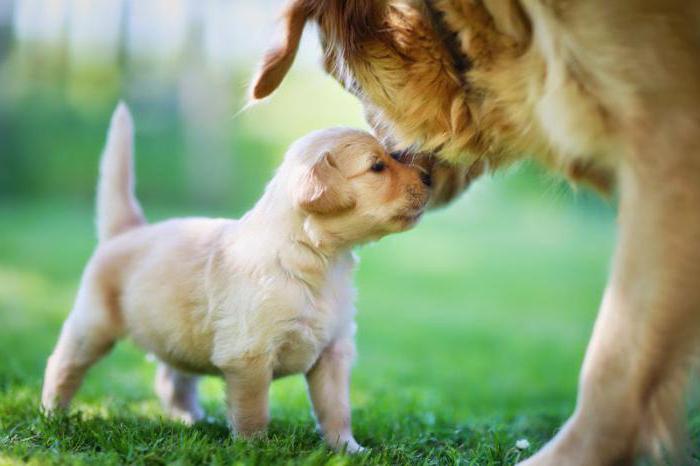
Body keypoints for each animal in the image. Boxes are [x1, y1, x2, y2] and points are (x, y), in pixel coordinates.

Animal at [41, 104, 430, 454]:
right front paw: (253, 448)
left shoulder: (333, 351)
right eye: (377, 166)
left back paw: (193, 420)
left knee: (171, 379)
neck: (316, 259)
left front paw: (348, 448)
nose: (429, 177)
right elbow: (253, 410)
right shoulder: (249, 356)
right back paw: (53, 414)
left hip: (178, 334)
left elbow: (336, 408)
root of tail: (127, 231)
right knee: (62, 364)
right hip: (93, 324)